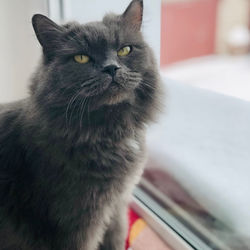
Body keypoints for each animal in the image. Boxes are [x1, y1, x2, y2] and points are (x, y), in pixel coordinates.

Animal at [0, 0, 161, 249]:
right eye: (81, 58)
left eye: (124, 50)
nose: (111, 68)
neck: (109, 132)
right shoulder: (77, 223)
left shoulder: (117, 207)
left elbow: (115, 238)